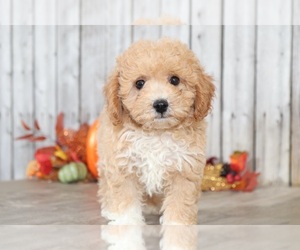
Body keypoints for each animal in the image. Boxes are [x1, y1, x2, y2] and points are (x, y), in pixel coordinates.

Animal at [97, 38, 214, 226]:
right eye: (139, 83)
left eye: (175, 80)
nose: (160, 104)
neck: (157, 133)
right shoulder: (122, 166)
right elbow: (125, 202)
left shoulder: (185, 169)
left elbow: (179, 205)